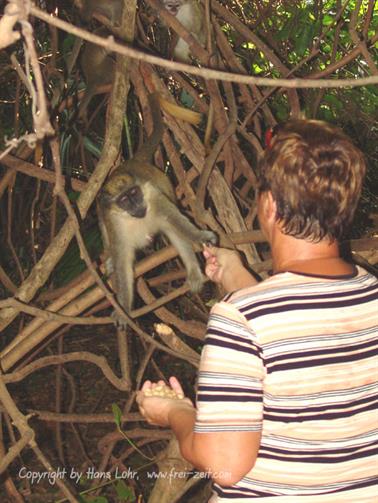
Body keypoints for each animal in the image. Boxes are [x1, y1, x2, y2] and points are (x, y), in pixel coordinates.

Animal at [98, 93, 216, 316]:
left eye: (134, 193)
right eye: (124, 200)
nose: (136, 205)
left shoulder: (155, 196)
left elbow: (178, 224)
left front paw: (201, 236)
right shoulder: (113, 220)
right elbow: (122, 261)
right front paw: (123, 307)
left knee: (174, 230)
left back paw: (193, 271)